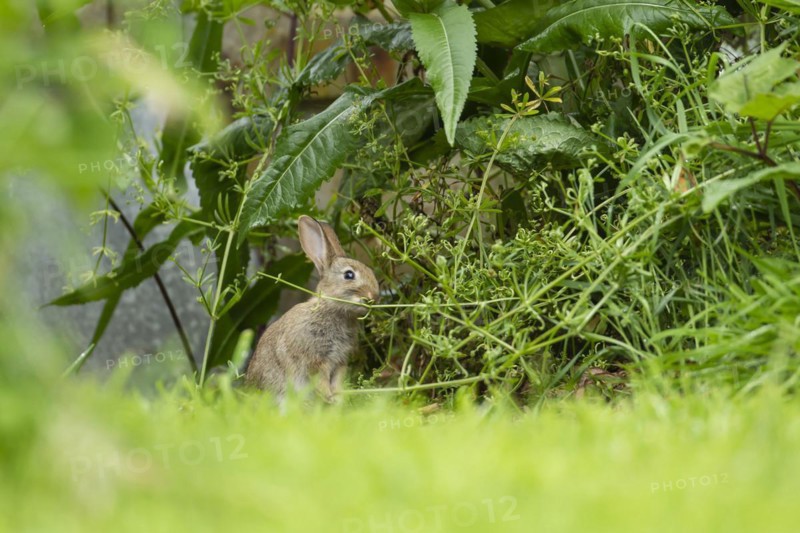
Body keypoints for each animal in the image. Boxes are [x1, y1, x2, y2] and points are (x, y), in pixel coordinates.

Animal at [245, 215, 379, 404]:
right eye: (349, 275)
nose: (373, 296)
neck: (334, 310)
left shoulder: (340, 361)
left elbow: (337, 380)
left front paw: (338, 399)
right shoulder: (314, 358)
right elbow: (320, 379)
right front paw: (329, 397)